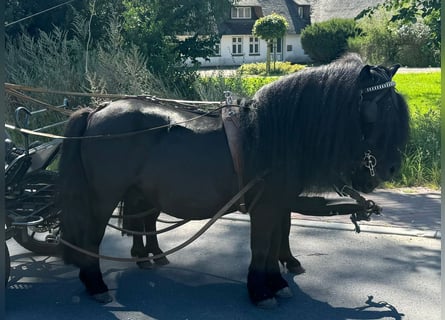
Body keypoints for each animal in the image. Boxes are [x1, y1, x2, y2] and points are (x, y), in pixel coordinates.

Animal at [58, 54, 410, 308]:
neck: (273, 134)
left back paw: (146, 258)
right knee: (92, 237)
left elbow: (276, 241)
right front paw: (261, 291)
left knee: (141, 220)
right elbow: (261, 246)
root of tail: (97, 109)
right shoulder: (265, 205)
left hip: (140, 191)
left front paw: (277, 282)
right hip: (103, 196)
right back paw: (96, 284)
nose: (392, 168)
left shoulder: (278, 203)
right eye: (382, 110)